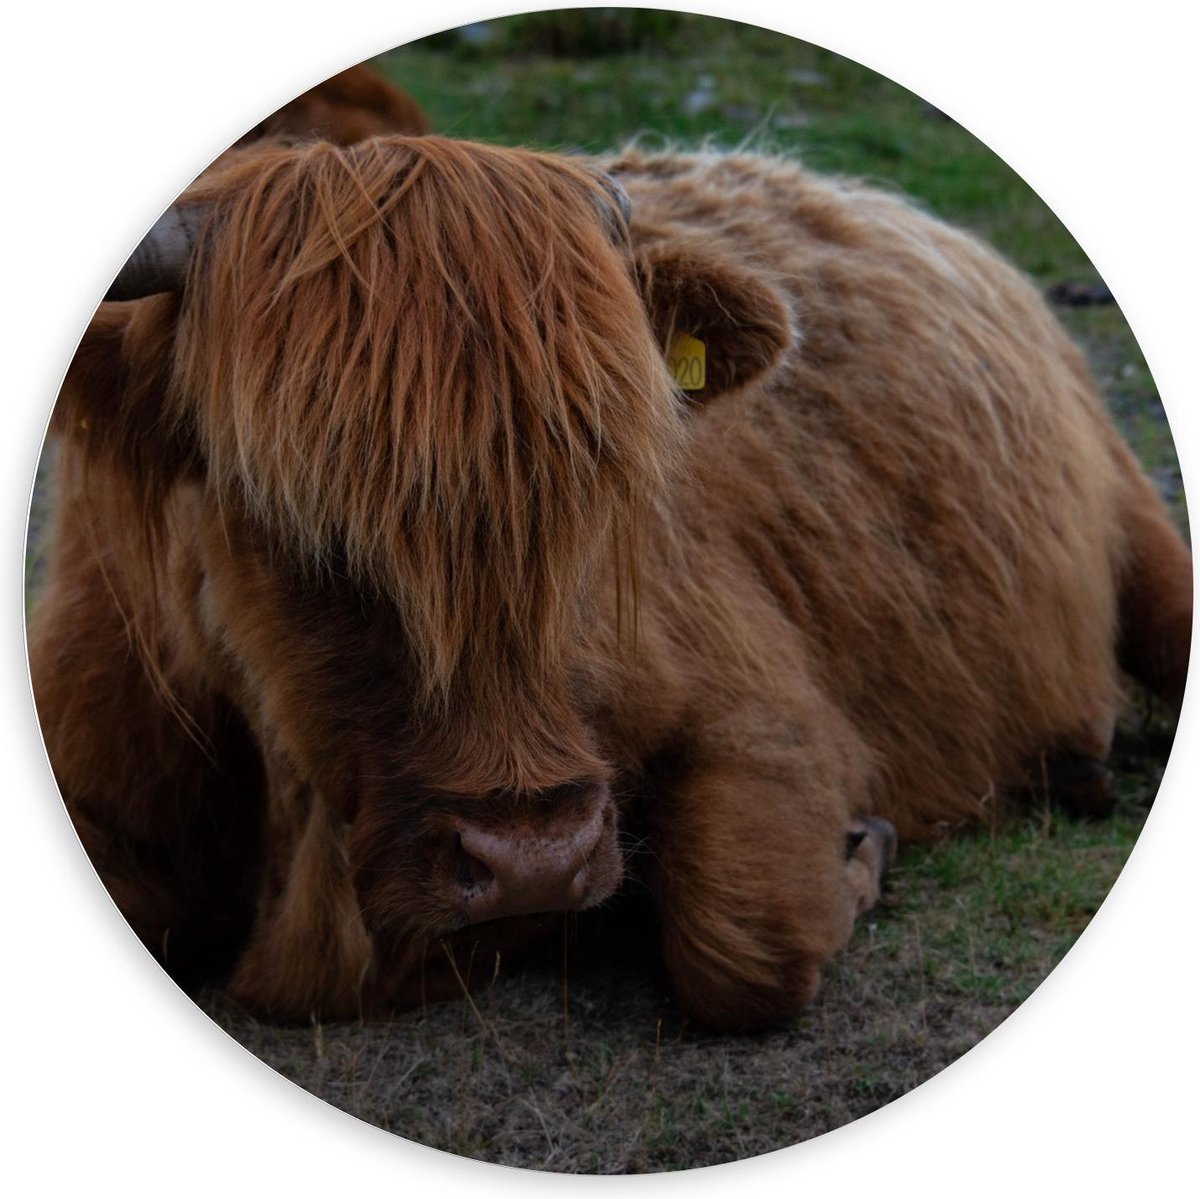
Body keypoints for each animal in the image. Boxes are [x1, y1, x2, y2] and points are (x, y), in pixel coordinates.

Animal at [28, 134, 1191, 1031]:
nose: (533, 858)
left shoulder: (765, 714)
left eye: (610, 480)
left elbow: (741, 943)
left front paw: (862, 851)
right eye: (285, 514)